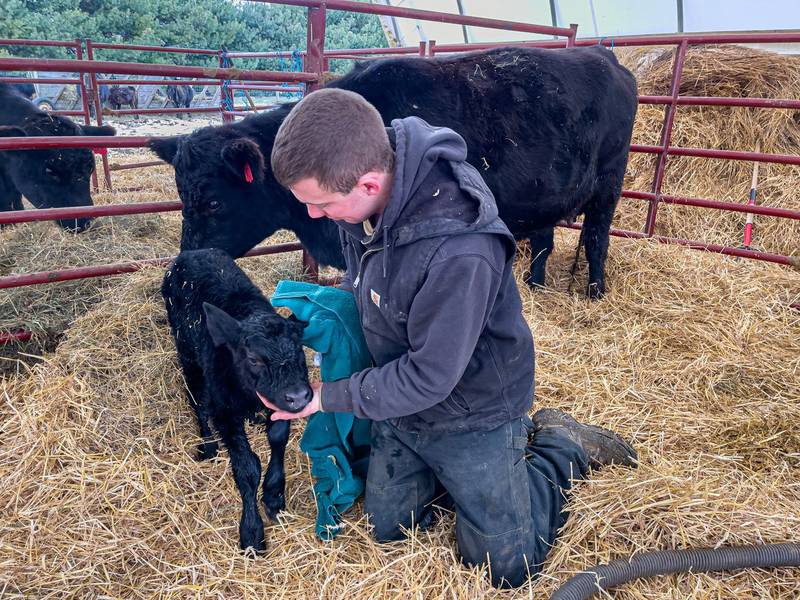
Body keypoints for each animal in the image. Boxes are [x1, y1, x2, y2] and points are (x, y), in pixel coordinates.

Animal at [150, 45, 636, 298]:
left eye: (214, 202)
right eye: (181, 197)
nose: (182, 265)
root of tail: (603, 54)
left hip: (608, 184)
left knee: (596, 239)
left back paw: (595, 292)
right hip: (546, 194)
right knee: (544, 240)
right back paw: (535, 286)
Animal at [162, 246, 312, 552]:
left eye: (299, 350)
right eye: (253, 359)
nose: (298, 396)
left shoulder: (276, 405)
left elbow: (278, 439)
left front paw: (274, 495)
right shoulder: (225, 411)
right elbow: (247, 467)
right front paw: (252, 532)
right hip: (187, 354)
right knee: (197, 400)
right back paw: (207, 447)